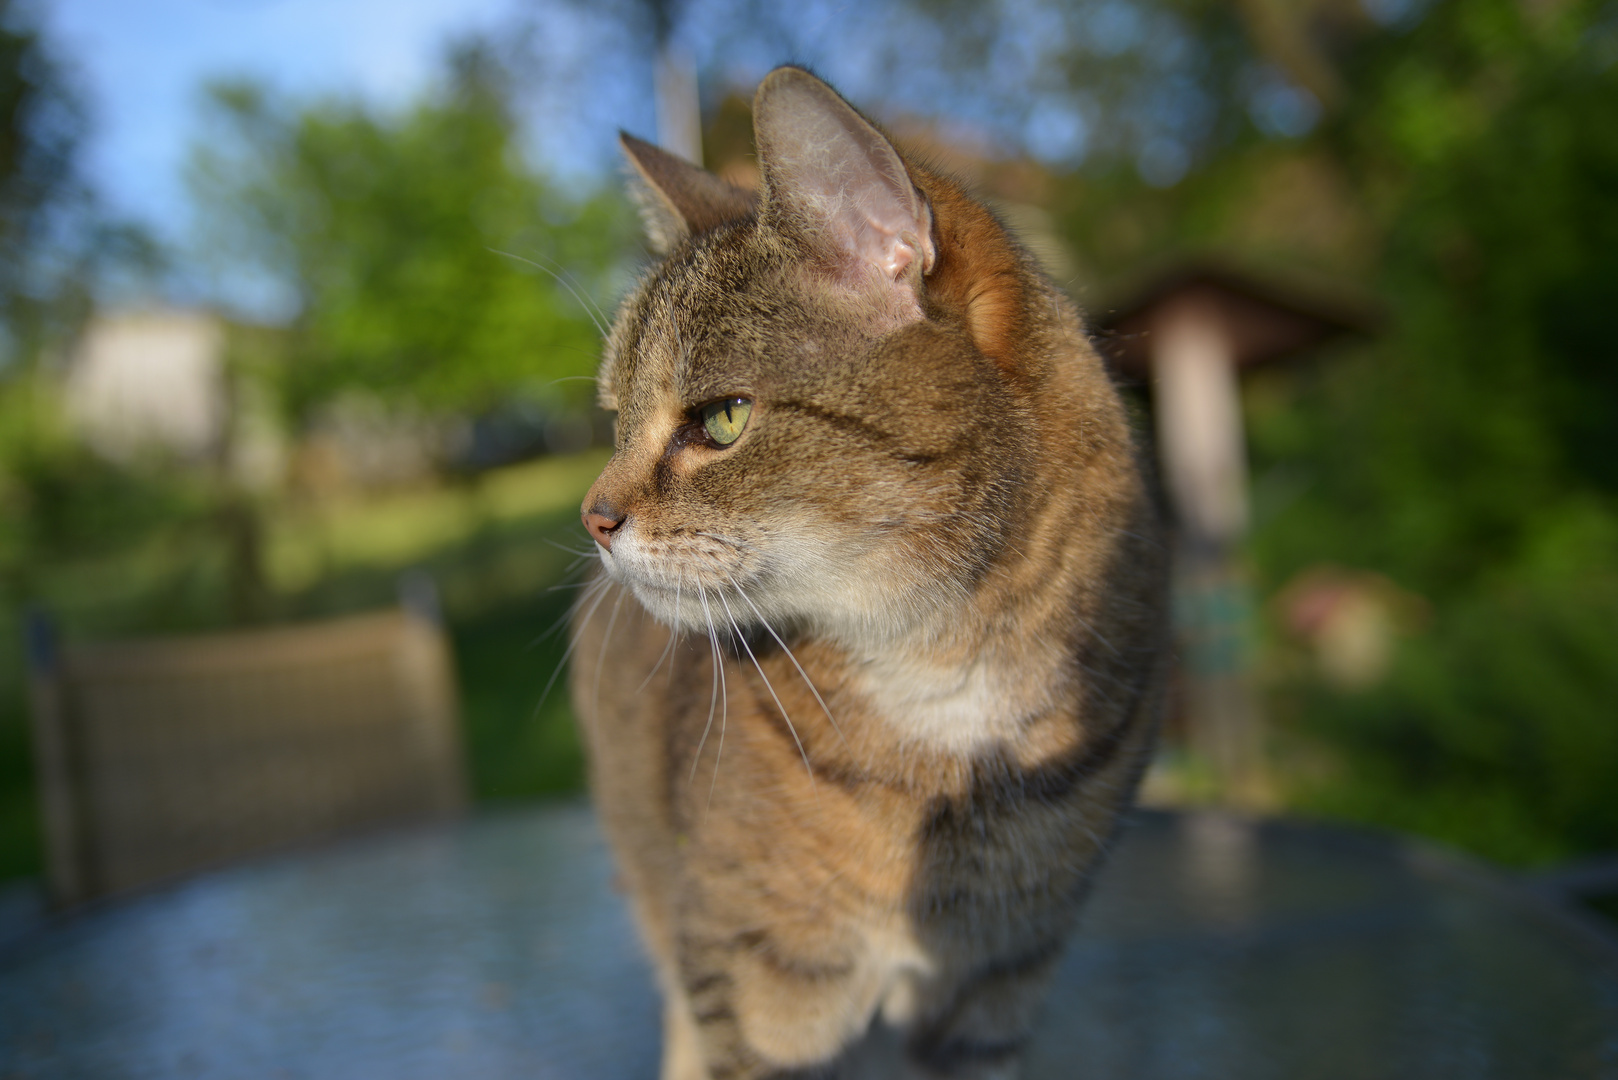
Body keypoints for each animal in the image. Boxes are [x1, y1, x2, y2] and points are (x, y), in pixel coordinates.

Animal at [569, 67, 1164, 1080]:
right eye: (615, 419)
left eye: (722, 419)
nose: (593, 518)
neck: (947, 690)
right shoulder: (754, 994)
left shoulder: (994, 988)